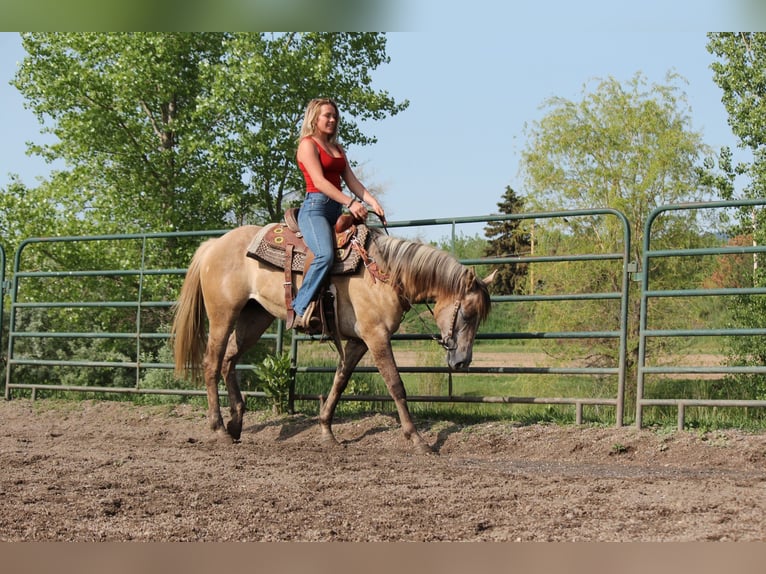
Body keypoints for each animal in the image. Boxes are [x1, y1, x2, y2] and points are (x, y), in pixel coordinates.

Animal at [171, 224, 495, 453]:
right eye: (467, 313)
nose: (462, 361)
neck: (386, 274)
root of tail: (214, 244)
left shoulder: (358, 342)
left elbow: (340, 382)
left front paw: (326, 430)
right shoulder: (376, 336)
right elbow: (396, 386)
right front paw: (417, 439)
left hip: (254, 318)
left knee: (229, 360)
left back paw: (236, 423)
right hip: (223, 315)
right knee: (212, 364)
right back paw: (219, 429)